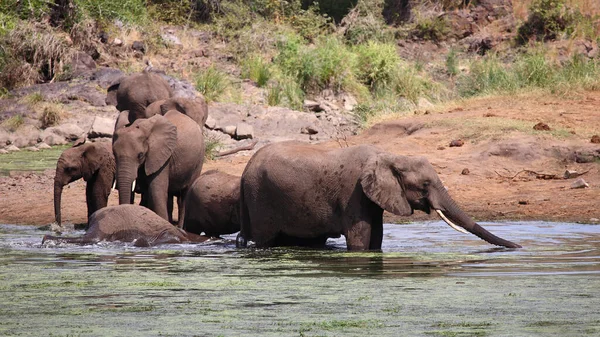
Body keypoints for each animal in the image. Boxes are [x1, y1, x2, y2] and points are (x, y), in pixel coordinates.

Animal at [237, 141, 524, 249]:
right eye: (425, 184)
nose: (520, 247)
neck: (389, 155)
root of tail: (244, 171)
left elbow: (377, 236)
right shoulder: (353, 194)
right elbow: (361, 239)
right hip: (260, 197)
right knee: (264, 239)